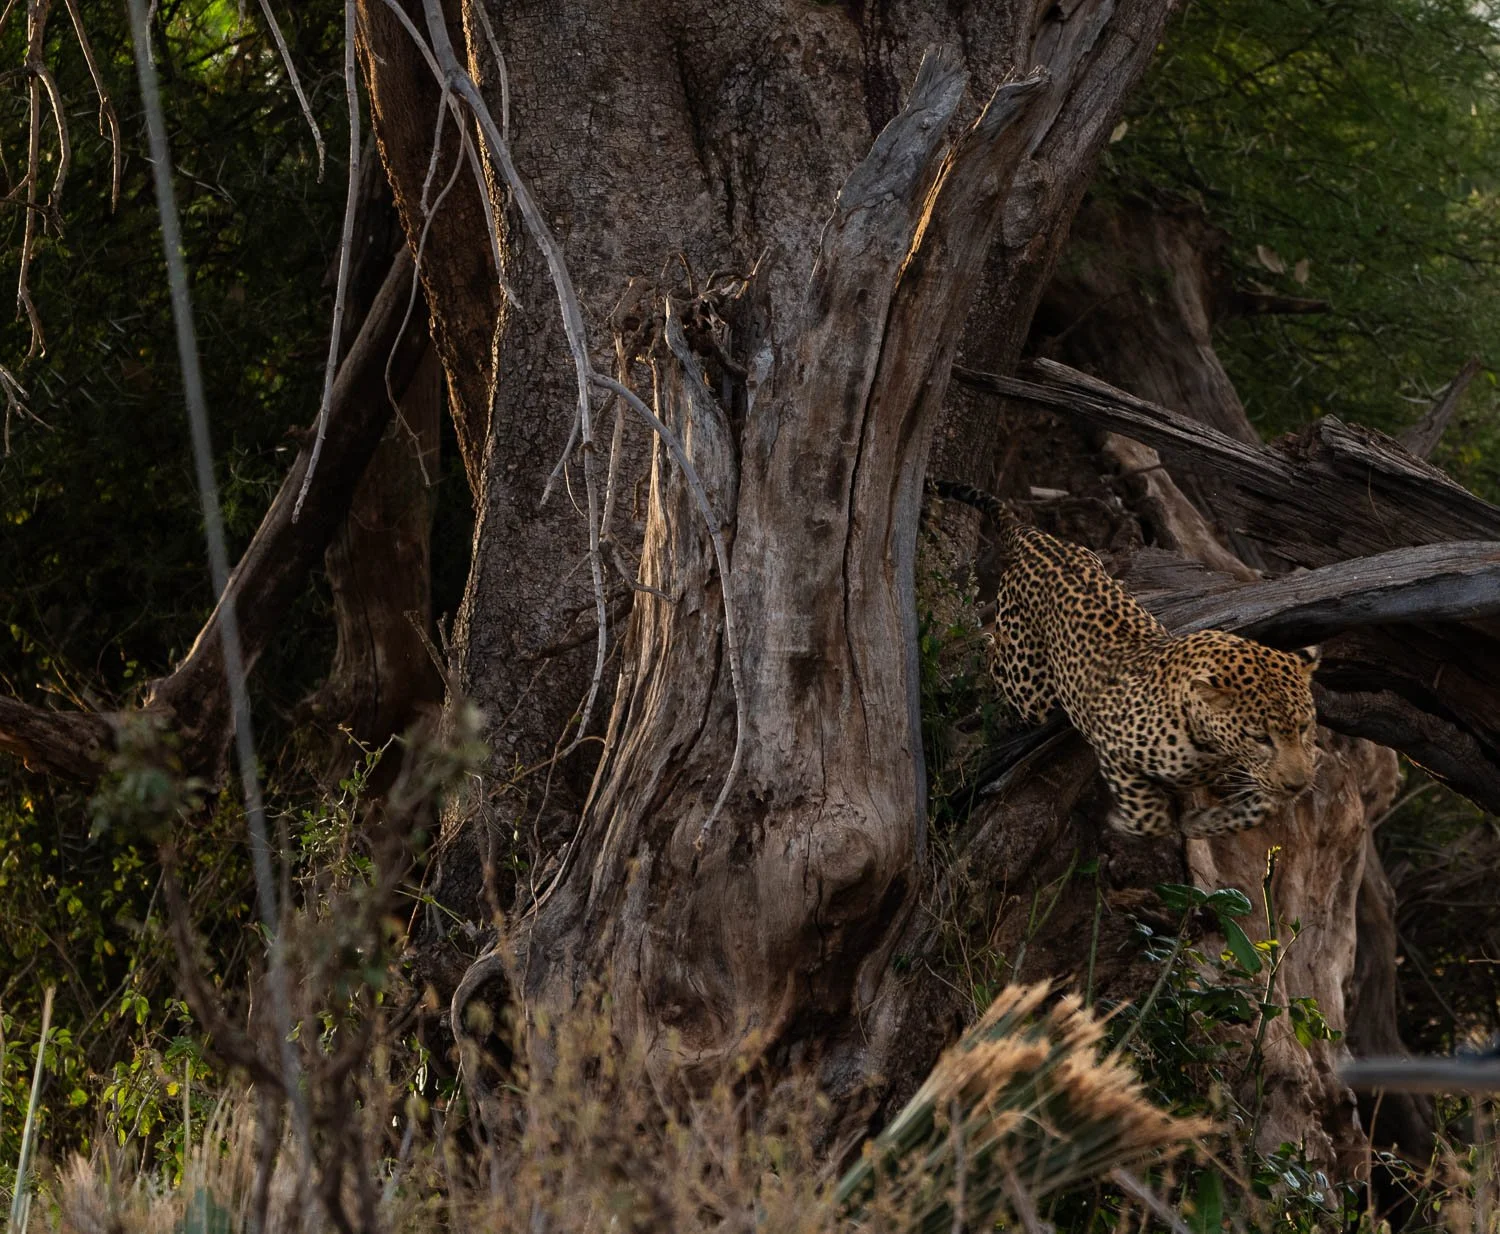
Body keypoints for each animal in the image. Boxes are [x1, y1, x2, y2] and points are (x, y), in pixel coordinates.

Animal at [927, 479, 1320, 838]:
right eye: (1260, 737)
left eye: (1303, 727)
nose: (1298, 785)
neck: (1210, 743)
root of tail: (1038, 538)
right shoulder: (1109, 739)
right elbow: (1150, 817)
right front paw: (1125, 821)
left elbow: (1265, 802)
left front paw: (1206, 821)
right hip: (1030, 686)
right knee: (997, 658)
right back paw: (974, 654)